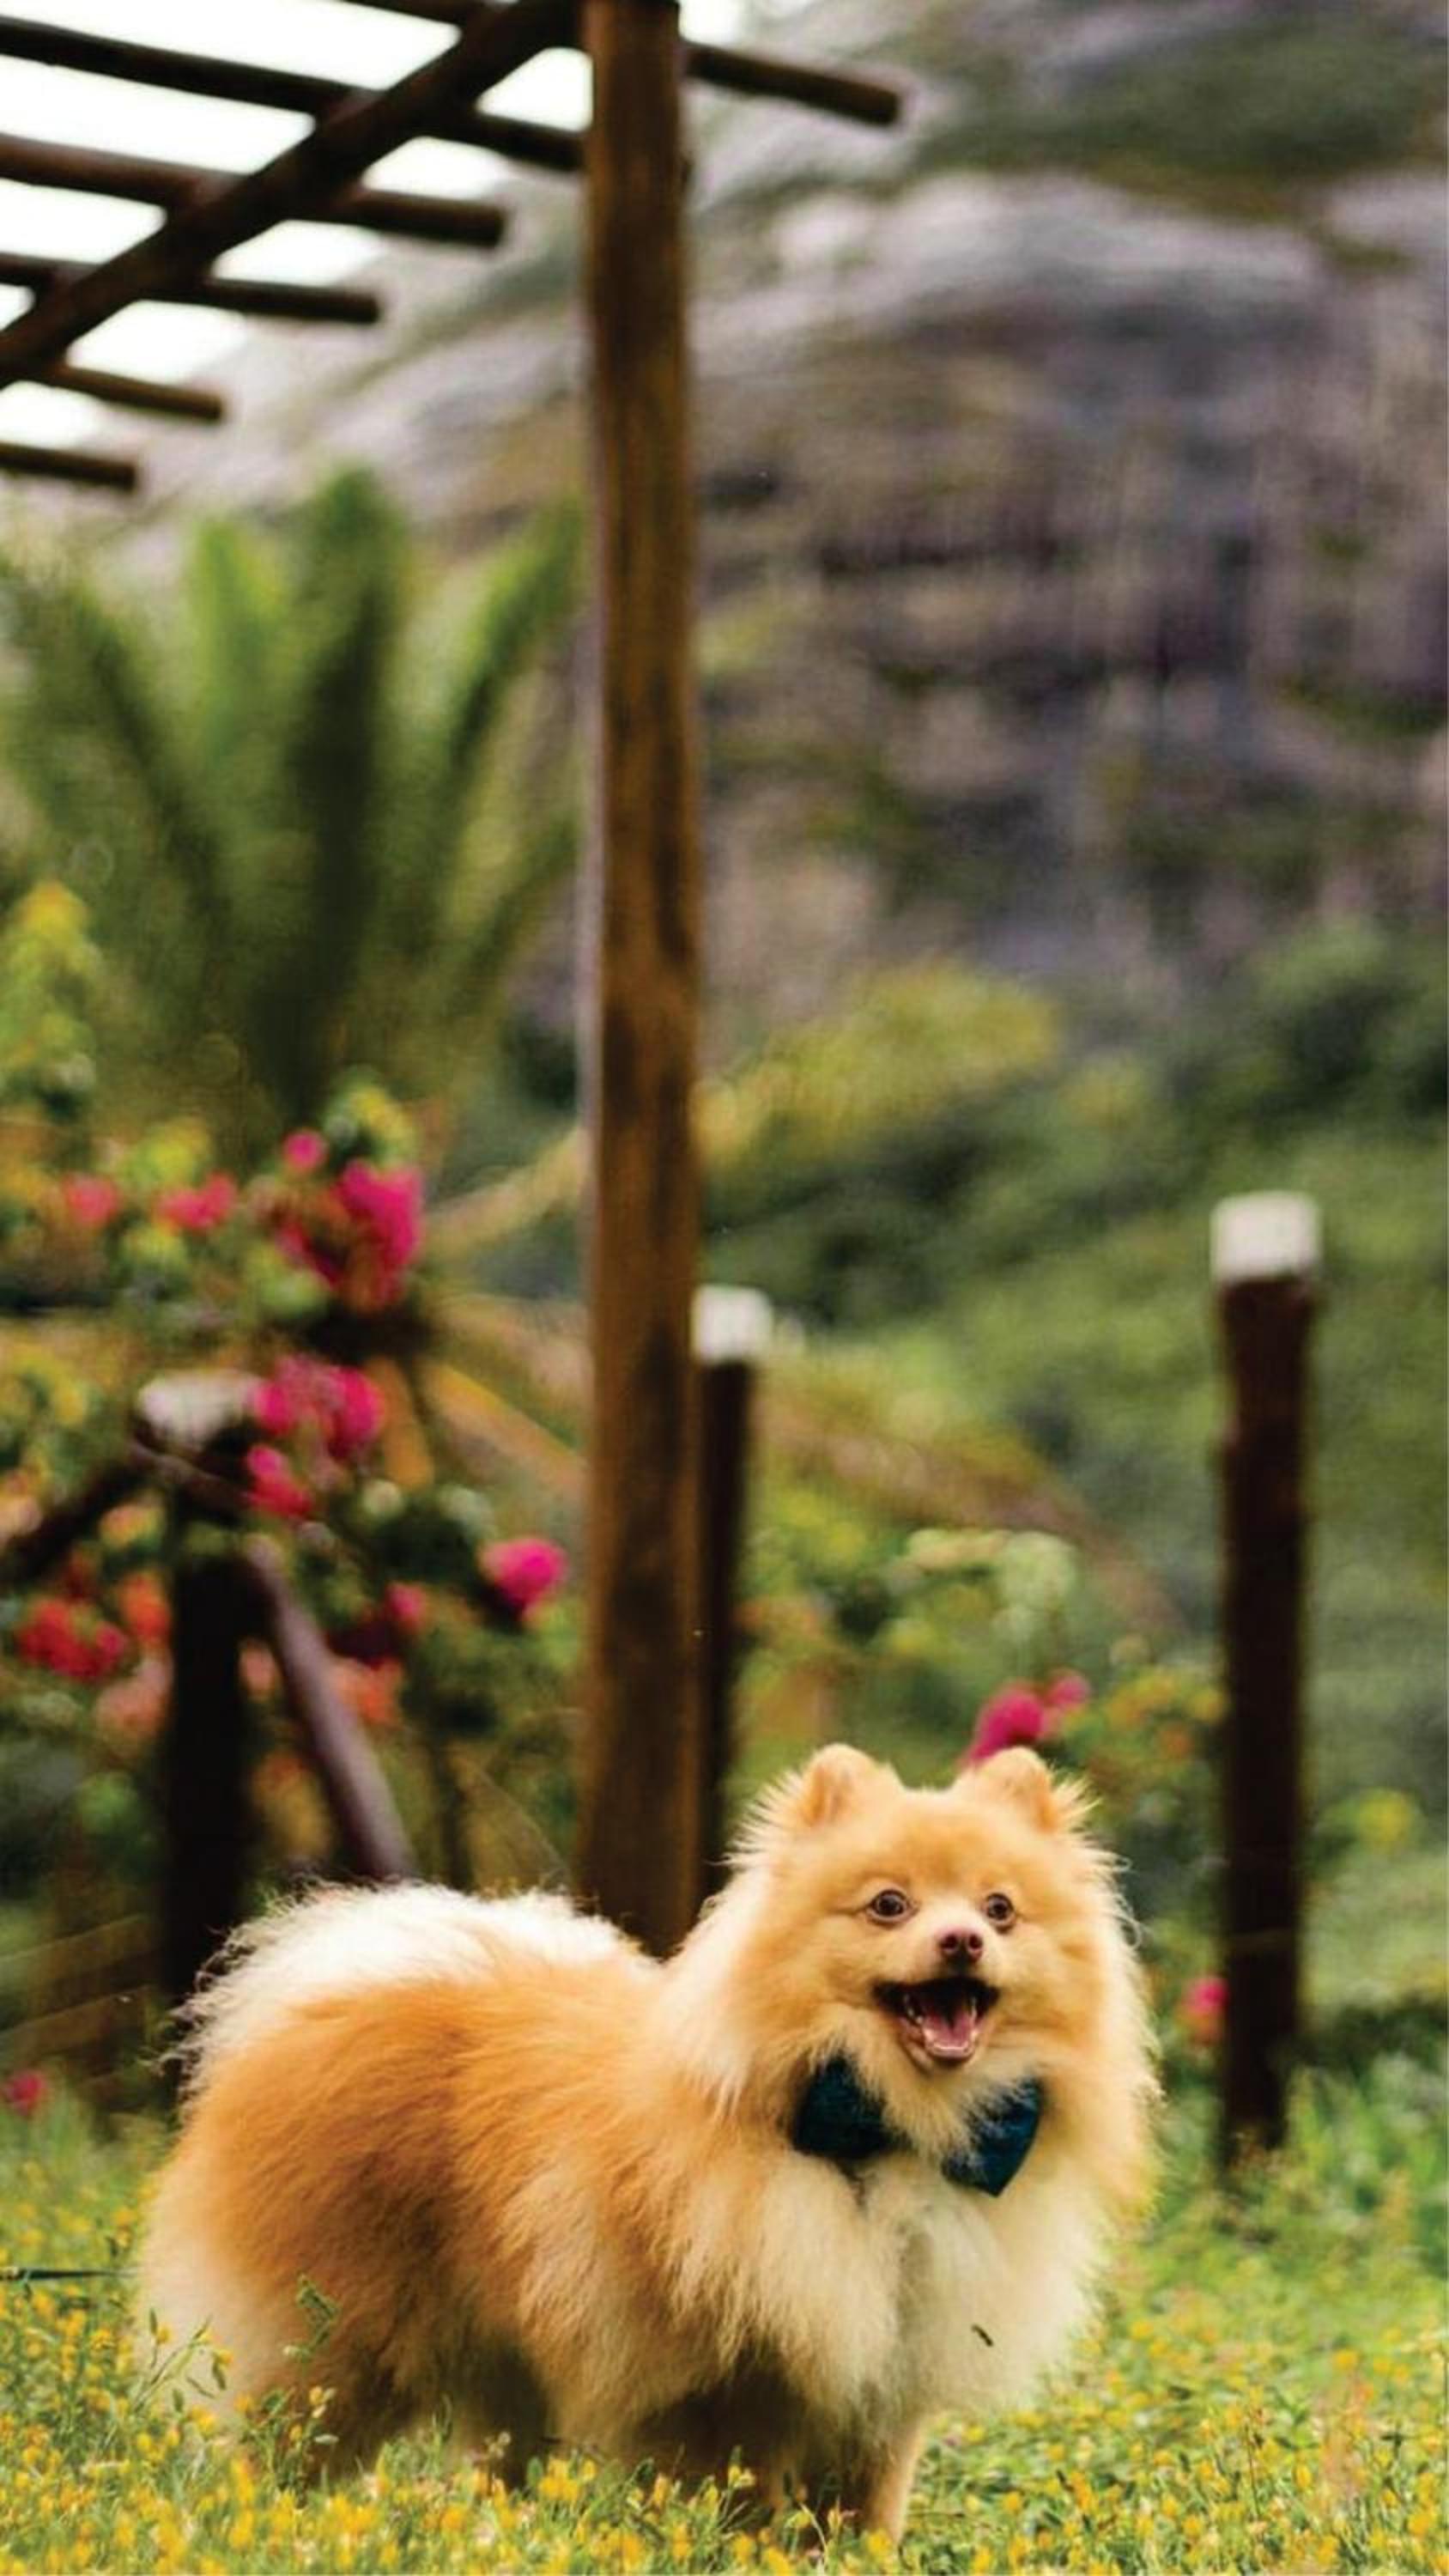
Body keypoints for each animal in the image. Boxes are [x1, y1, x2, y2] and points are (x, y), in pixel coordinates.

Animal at [137, 1742, 1154, 2536]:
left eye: (999, 1909)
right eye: (888, 1906)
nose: (961, 1941)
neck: (876, 2134)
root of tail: (349, 1981)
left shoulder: (884, 2383)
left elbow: (864, 2516)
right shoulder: (723, 2385)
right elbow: (738, 2502)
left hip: (506, 2362)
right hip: (338, 2348)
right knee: (279, 2448)